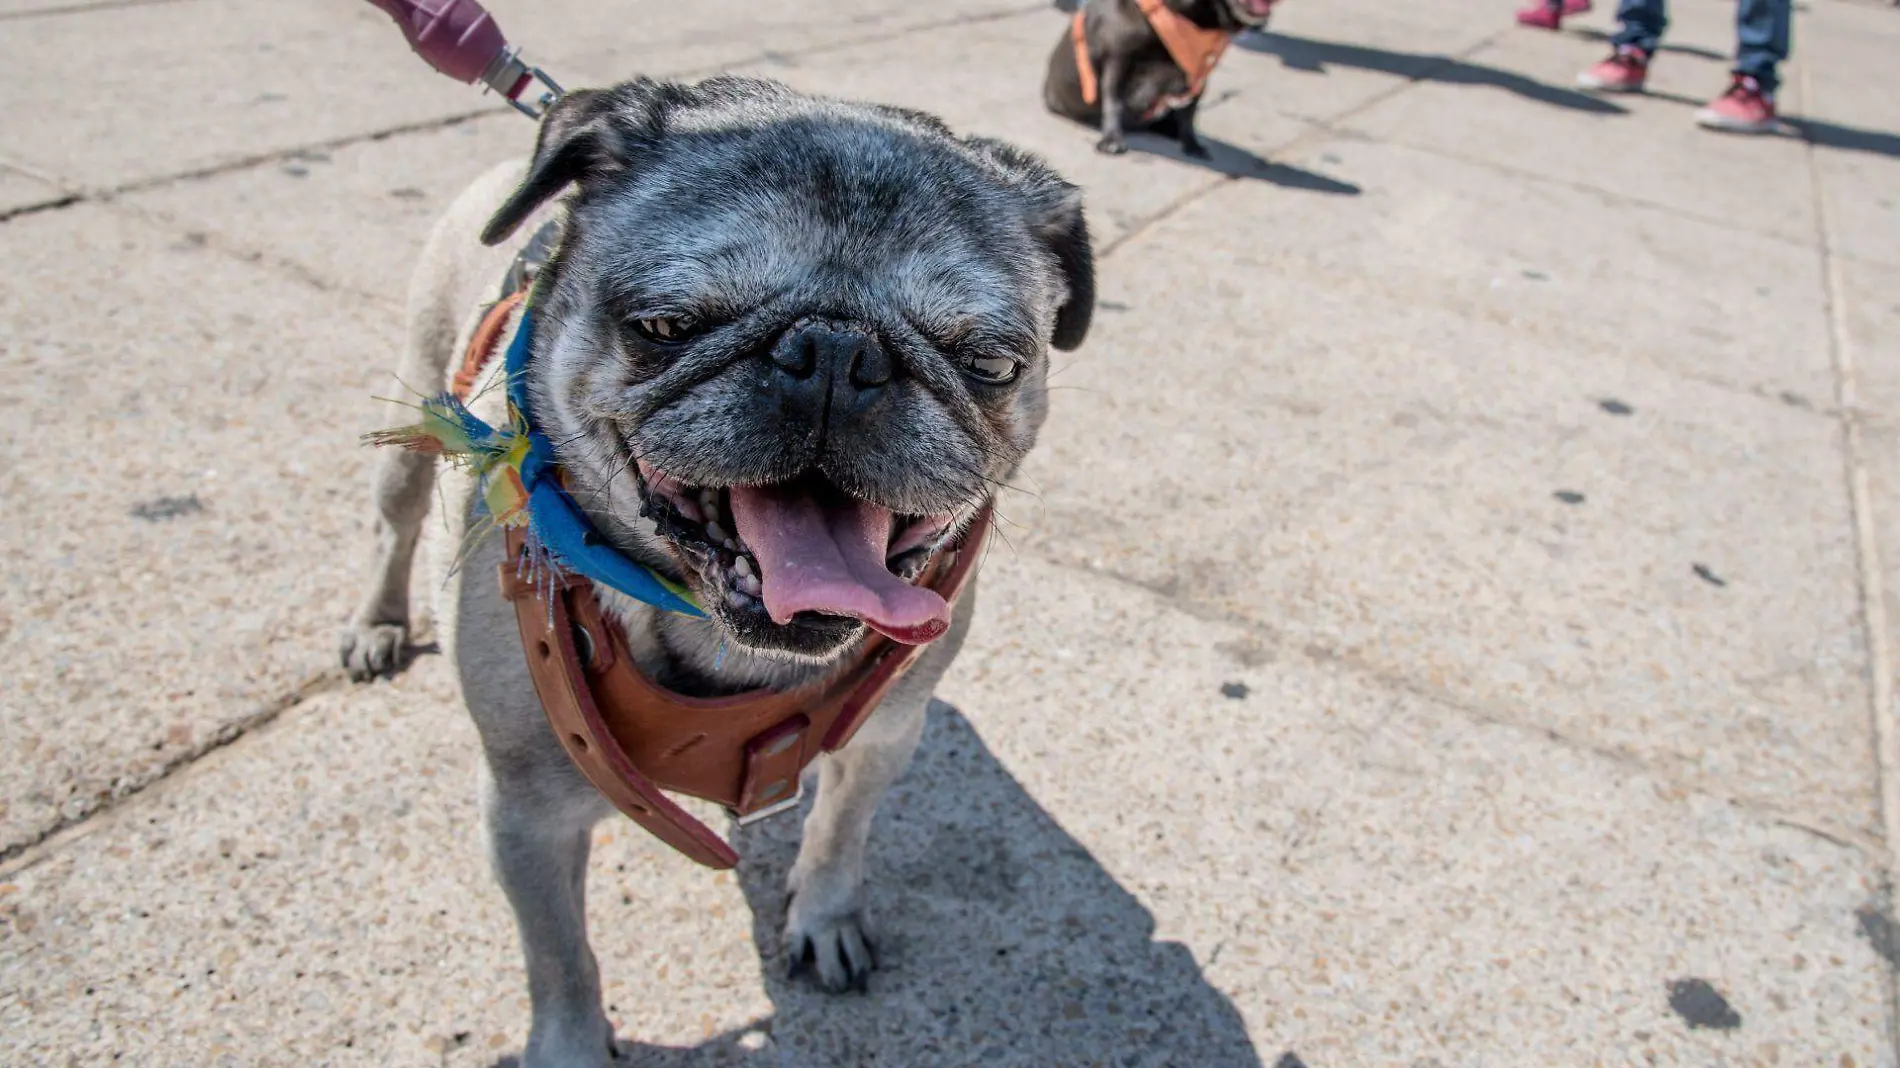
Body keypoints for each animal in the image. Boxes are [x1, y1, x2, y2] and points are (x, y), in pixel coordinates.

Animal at [334, 76, 1094, 1064]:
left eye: (991, 362)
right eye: (665, 325)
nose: (838, 353)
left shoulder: (887, 733)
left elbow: (841, 832)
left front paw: (826, 915)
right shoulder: (527, 816)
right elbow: (562, 961)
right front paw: (572, 1046)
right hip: (413, 415)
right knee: (392, 525)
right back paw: (377, 624)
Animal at [1041, 0, 1276, 155]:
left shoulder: (1198, 74)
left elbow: (1189, 112)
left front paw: (1191, 143)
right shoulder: (1117, 60)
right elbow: (1114, 100)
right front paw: (1112, 138)